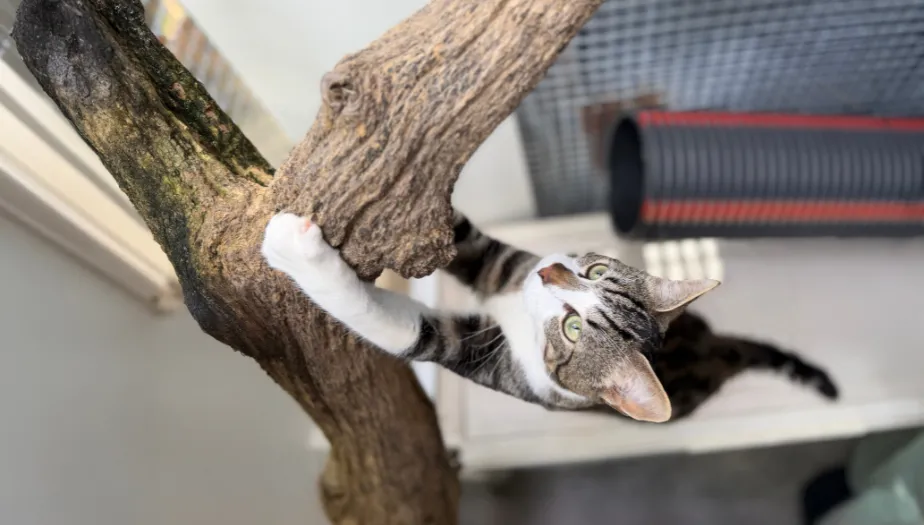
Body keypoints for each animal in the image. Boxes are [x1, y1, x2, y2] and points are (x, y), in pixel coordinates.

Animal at [261, 211, 838, 423]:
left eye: (574, 328)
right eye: (596, 268)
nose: (550, 272)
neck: (517, 309)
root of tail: (715, 348)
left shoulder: (490, 359)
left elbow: (408, 330)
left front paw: (298, 253)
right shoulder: (504, 266)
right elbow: (468, 241)